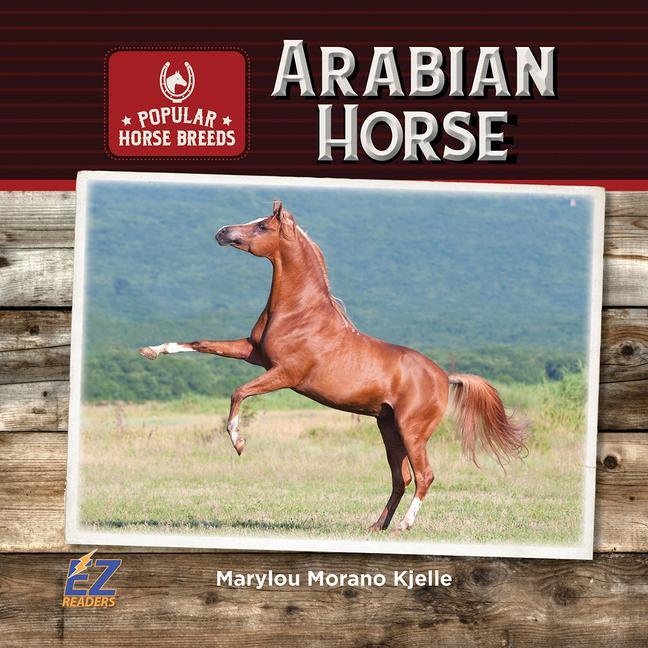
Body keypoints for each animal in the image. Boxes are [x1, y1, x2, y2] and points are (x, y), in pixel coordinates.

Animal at [138, 200, 527, 532]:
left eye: (262, 225)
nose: (221, 232)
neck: (300, 313)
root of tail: (445, 377)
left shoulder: (285, 373)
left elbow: (238, 393)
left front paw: (239, 443)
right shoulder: (253, 353)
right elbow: (201, 343)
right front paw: (152, 350)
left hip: (412, 430)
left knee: (424, 475)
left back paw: (403, 525)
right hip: (388, 428)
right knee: (400, 478)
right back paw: (376, 526)